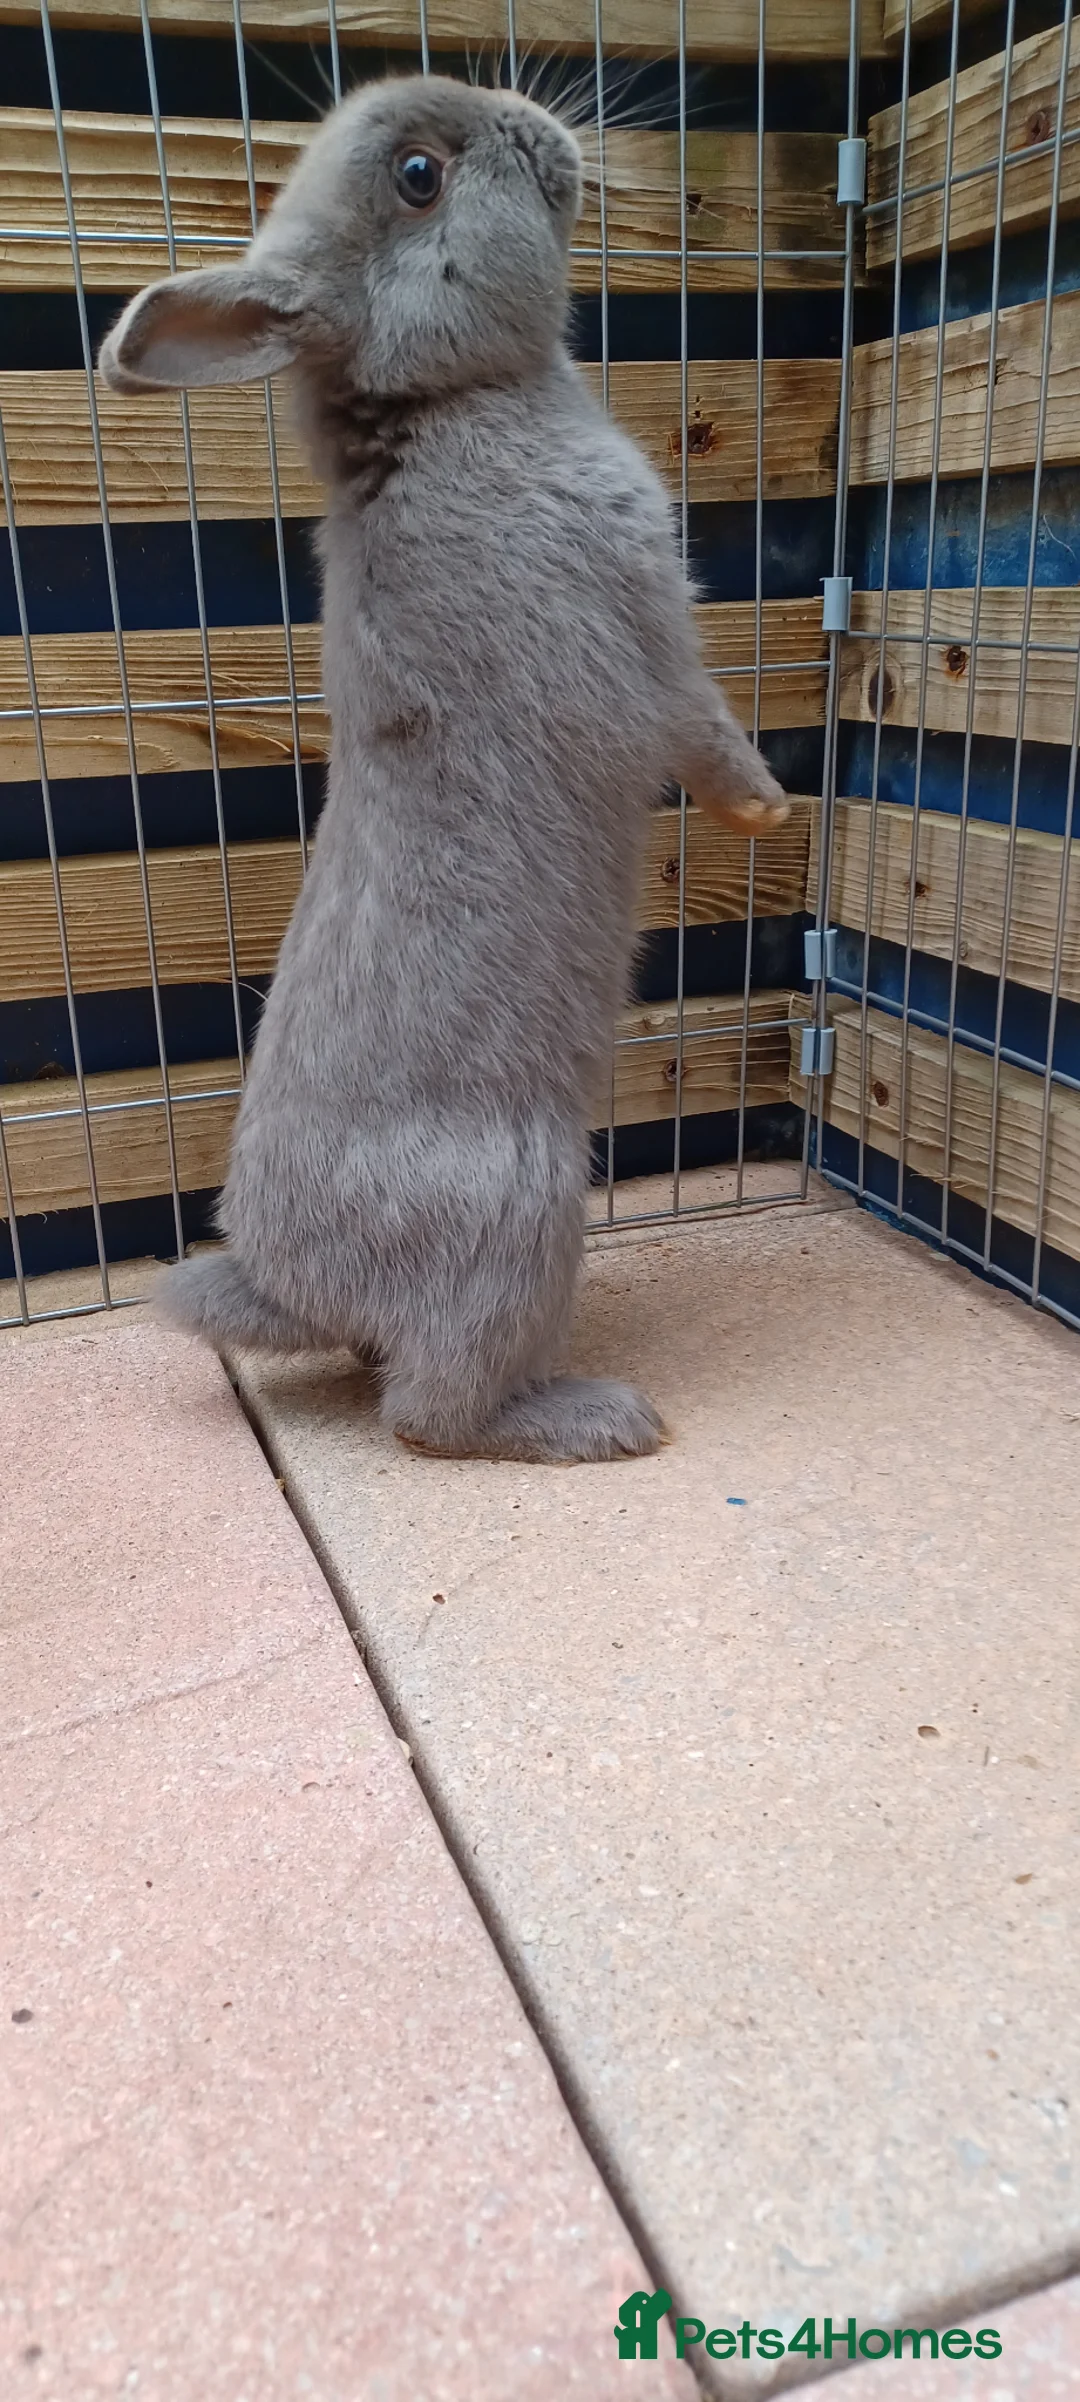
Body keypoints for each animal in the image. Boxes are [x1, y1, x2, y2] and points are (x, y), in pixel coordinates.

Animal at [98, 73, 789, 1464]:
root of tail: (289, 1287)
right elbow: (701, 726)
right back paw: (601, 1419)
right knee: (429, 1415)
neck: (441, 406)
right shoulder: (645, 631)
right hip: (525, 1213)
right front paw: (767, 808)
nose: (533, 117)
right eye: (420, 175)